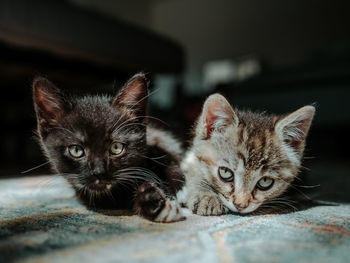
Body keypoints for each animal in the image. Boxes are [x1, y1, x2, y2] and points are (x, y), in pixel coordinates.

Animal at [32, 72, 185, 223]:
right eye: (76, 150)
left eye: (116, 147)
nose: (99, 172)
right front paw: (155, 203)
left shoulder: (161, 141)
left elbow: (170, 163)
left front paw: (178, 191)